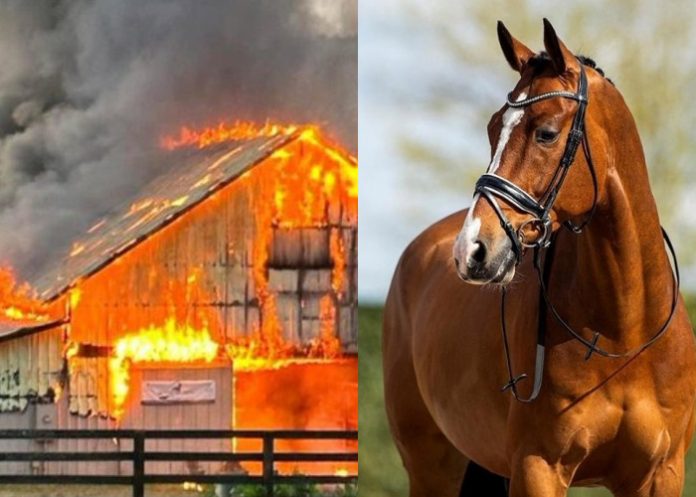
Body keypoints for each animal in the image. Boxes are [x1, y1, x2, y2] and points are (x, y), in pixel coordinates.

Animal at [383, 19, 696, 497]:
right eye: (493, 128)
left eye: (546, 132)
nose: (472, 250)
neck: (623, 335)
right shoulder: (538, 468)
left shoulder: (660, 474)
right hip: (431, 466)